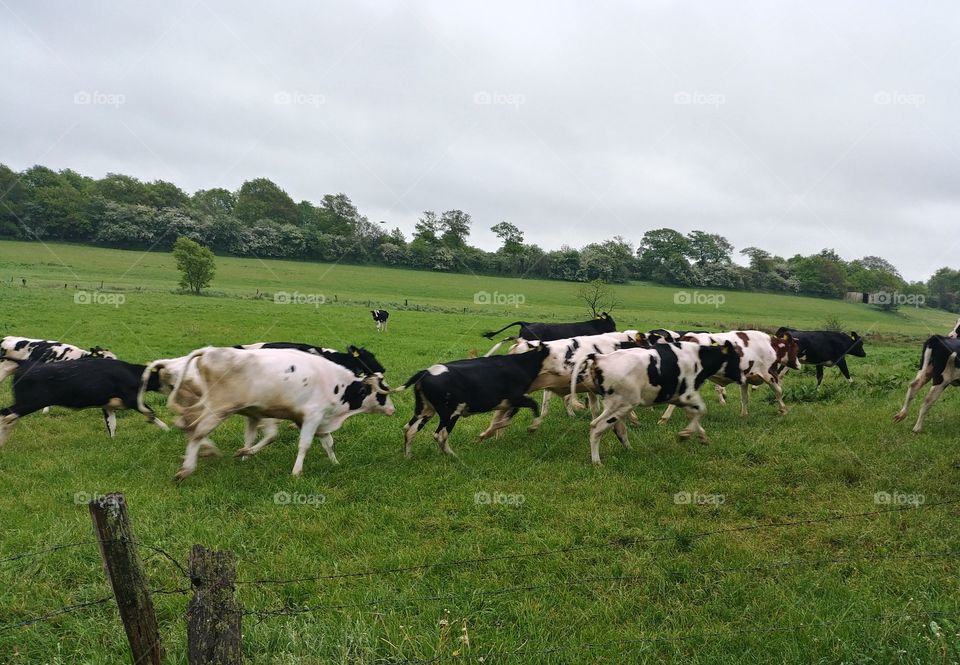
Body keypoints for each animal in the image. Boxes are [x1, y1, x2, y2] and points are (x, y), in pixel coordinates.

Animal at [0, 358, 168, 447]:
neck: (132, 373)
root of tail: (24, 363)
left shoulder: (108, 405)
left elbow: (112, 424)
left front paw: (113, 443)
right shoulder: (131, 399)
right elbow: (150, 412)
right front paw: (168, 430)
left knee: (10, 418)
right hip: (31, 402)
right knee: (5, 415)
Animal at [164, 347, 394, 480]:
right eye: (382, 392)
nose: (393, 409)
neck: (339, 385)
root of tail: (208, 351)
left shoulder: (319, 421)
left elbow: (328, 443)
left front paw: (335, 463)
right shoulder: (312, 417)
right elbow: (304, 445)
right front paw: (297, 472)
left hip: (203, 405)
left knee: (187, 423)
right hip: (218, 409)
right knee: (197, 431)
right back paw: (187, 468)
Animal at [399, 344, 551, 457]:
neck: (522, 364)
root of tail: (426, 372)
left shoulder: (510, 402)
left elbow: (507, 417)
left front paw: (491, 431)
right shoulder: (516, 397)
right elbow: (533, 405)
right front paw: (533, 427)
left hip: (425, 410)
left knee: (409, 429)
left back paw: (408, 457)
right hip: (451, 413)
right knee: (440, 435)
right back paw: (453, 456)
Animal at [571, 340, 743, 464]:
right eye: (736, 358)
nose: (743, 376)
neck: (699, 358)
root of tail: (600, 358)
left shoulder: (679, 398)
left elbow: (693, 416)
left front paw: (700, 436)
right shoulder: (688, 394)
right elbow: (702, 410)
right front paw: (685, 435)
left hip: (617, 406)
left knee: (618, 429)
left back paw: (630, 450)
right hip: (623, 404)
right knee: (596, 427)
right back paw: (597, 462)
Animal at [656, 330, 800, 423]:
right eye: (795, 348)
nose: (799, 365)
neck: (769, 345)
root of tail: (690, 336)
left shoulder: (745, 379)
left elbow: (744, 398)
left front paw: (744, 415)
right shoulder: (769, 373)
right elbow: (779, 391)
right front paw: (783, 411)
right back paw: (665, 418)